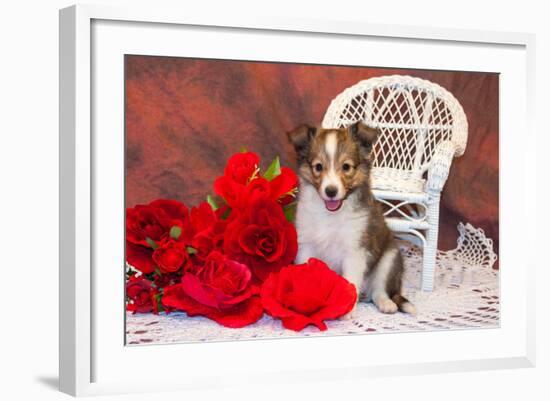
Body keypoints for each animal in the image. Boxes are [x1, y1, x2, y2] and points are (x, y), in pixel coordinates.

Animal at [292, 121, 416, 316]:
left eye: (346, 167)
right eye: (318, 167)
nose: (331, 191)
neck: (331, 215)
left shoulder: (355, 250)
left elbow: (349, 281)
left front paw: (346, 310)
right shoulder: (306, 246)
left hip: (389, 259)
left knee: (379, 290)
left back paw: (386, 304)